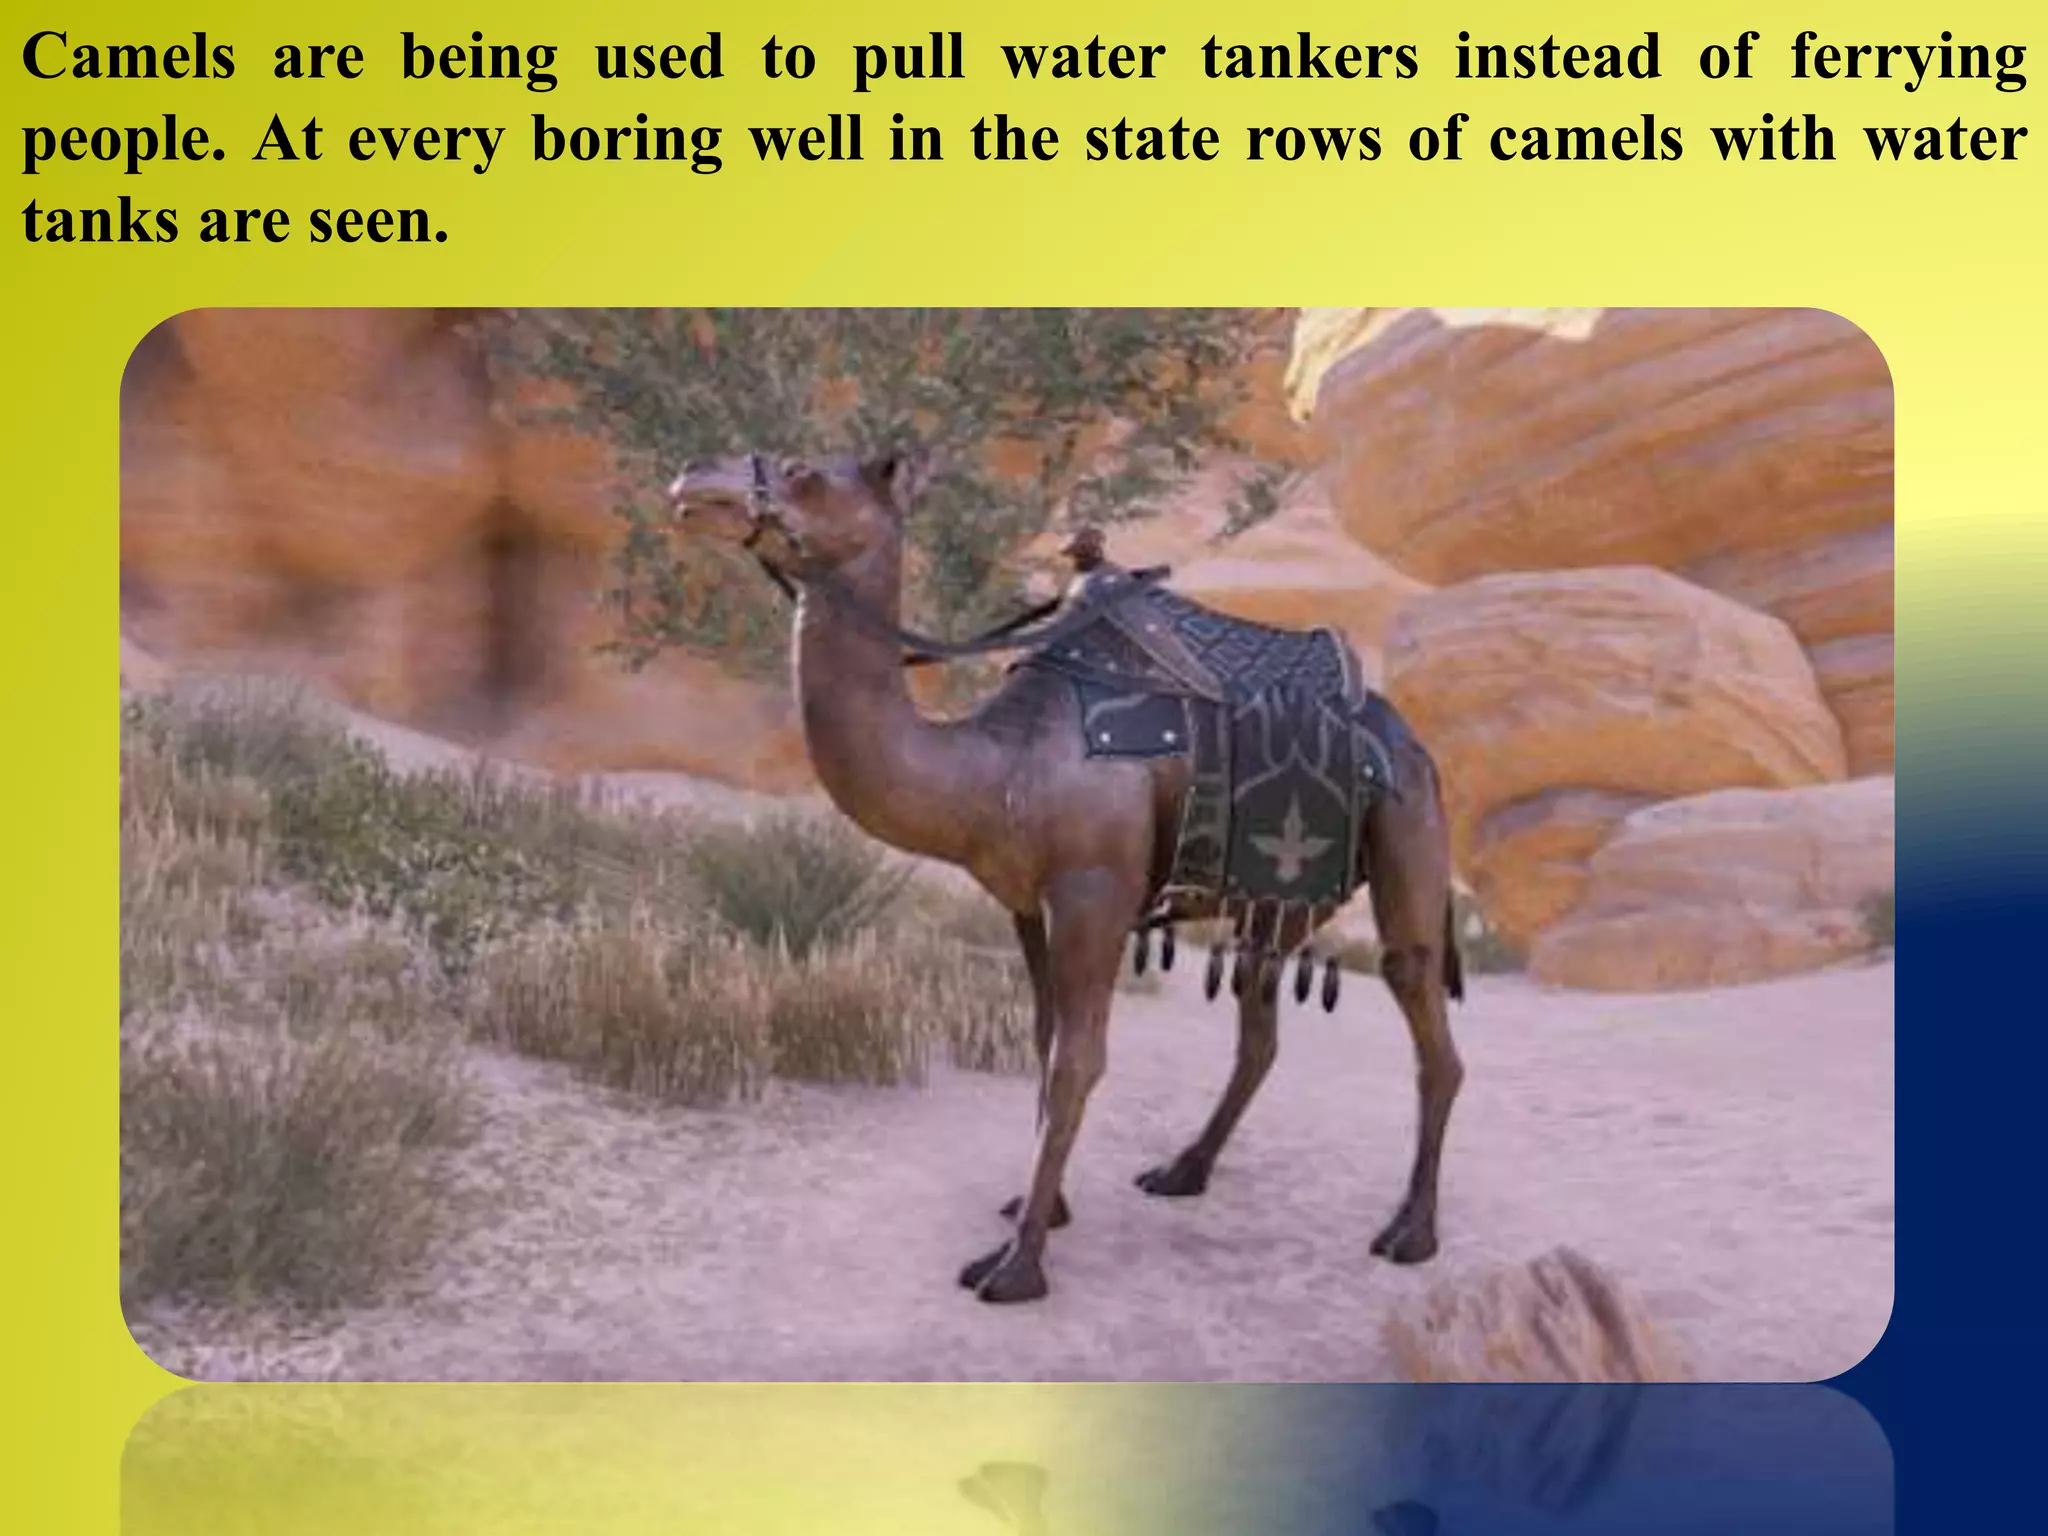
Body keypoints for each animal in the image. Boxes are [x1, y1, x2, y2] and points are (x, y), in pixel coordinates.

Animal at [667, 452, 1464, 1304]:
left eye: (803, 471)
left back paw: (1412, 1233)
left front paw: (1016, 1265)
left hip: (1408, 829)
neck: (997, 766)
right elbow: (1046, 1039)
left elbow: (1079, 1059)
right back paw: (1183, 1170)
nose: (692, 485)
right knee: (1260, 1020)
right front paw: (1040, 1211)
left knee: (1421, 1008)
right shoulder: (1025, 900)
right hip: (1283, 897)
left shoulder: (1093, 893)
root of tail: (1415, 741)